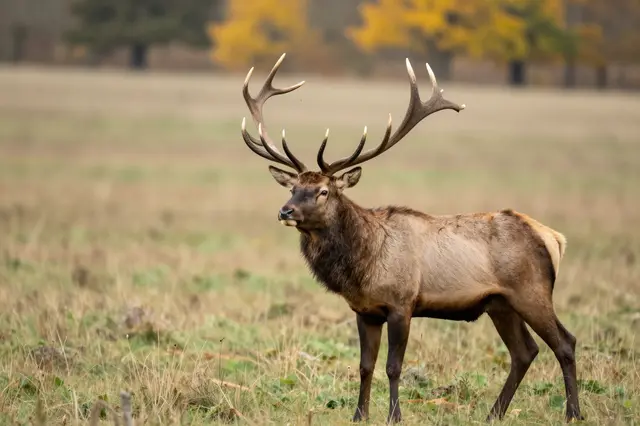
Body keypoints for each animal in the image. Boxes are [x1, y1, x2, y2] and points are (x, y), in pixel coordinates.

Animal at [238, 53, 583, 424]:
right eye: (293, 188)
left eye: (323, 191)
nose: (285, 211)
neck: (363, 264)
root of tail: (553, 237)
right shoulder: (365, 311)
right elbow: (365, 366)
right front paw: (359, 415)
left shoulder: (401, 303)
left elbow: (393, 367)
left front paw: (394, 415)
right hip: (500, 303)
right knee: (525, 351)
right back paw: (494, 413)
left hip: (532, 291)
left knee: (565, 342)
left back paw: (572, 413)